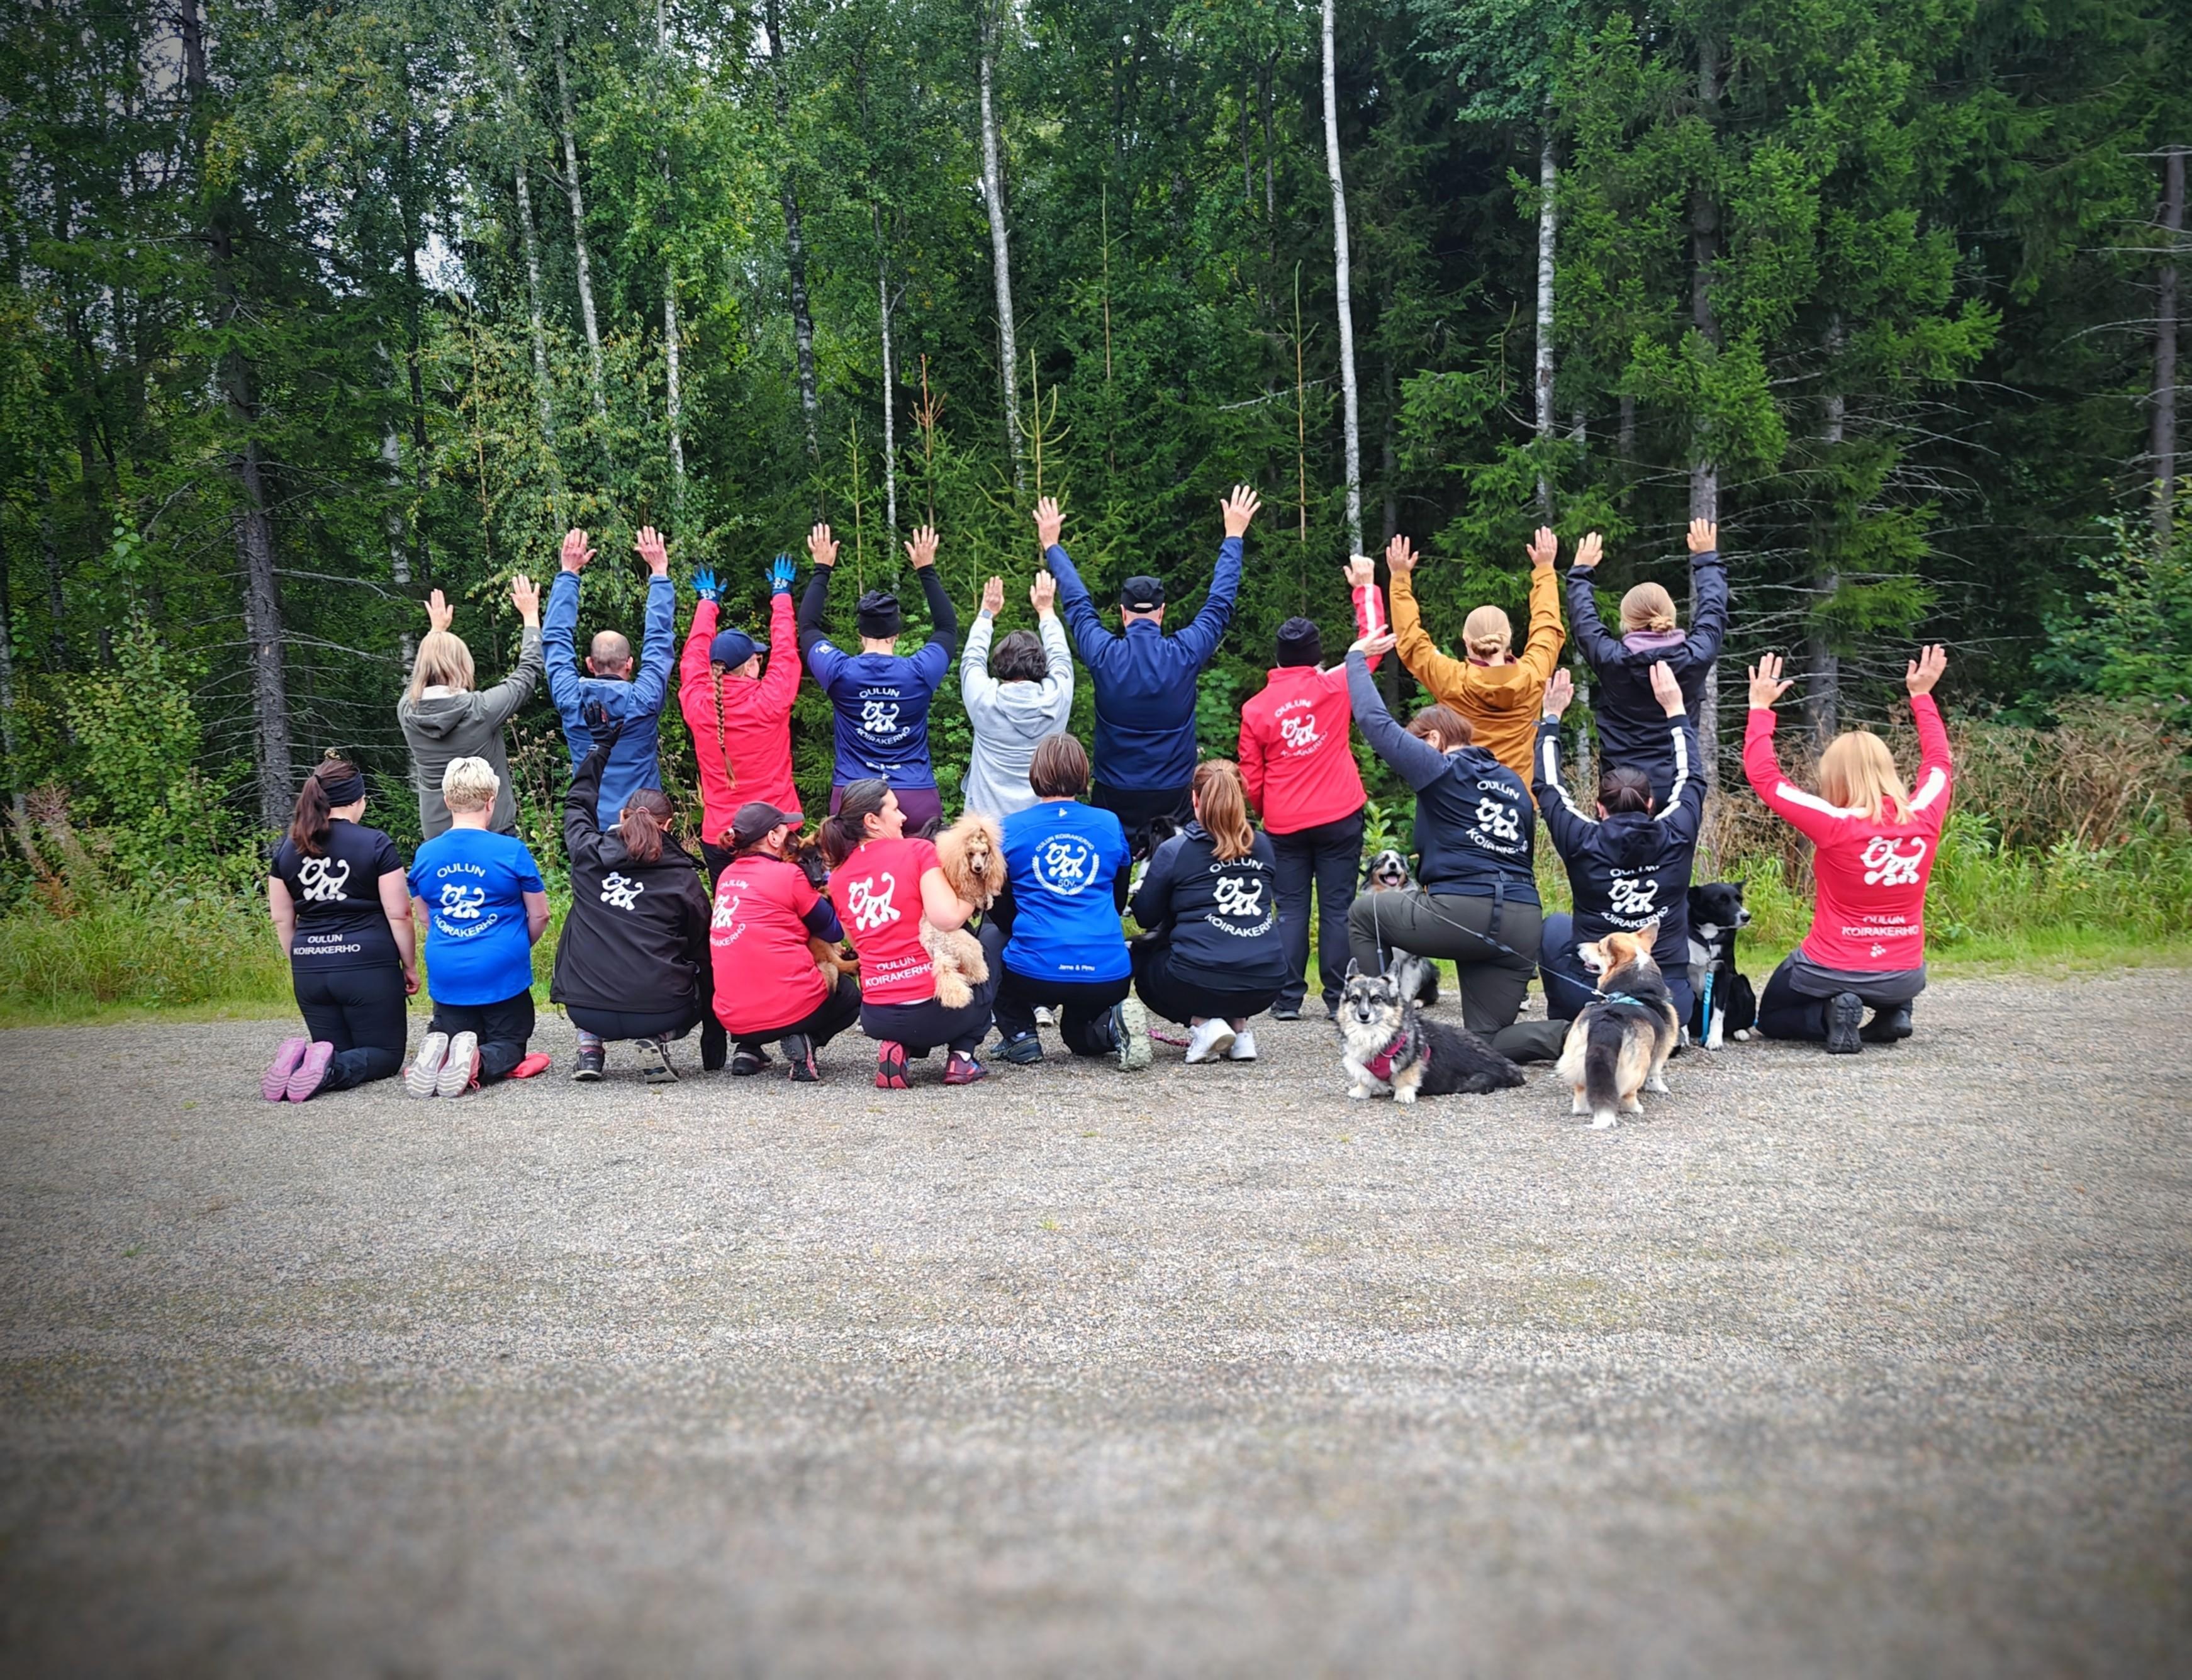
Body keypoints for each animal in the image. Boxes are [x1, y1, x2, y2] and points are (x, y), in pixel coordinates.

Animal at [924, 812, 1004, 1009]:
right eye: (970, 853)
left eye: (984, 853)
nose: (979, 868)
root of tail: (938, 947)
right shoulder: (969, 894)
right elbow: (982, 896)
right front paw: (989, 901)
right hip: (971, 947)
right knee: (975, 972)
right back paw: (982, 974)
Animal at [1336, 956, 1525, 1103]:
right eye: (1355, 999)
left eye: (1376, 998)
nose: (1363, 1015)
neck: (1371, 1033)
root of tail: (1509, 1067)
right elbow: (1365, 1079)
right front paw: (1361, 1090)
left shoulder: (1410, 1062)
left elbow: (1407, 1077)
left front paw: (1403, 1094)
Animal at [1357, 848, 1440, 1006]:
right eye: (1382, 860)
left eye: (1399, 861)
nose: (1393, 864)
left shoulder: (1411, 957)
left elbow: (1408, 981)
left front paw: (1406, 1002)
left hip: (1428, 968)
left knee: (1432, 995)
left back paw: (1418, 1002)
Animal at [1557, 927, 1682, 1129]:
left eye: (1599, 948)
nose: (1578, 947)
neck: (1635, 989)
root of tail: (1607, 1022)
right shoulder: (1662, 1052)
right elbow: (1656, 1073)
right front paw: (1660, 1088)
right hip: (1636, 1067)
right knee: (1629, 1093)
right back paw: (1635, 1108)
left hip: (1576, 1057)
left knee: (1581, 1094)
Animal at [1685, 881, 1757, 1047]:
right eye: (1721, 901)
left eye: (1740, 900)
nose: (1746, 916)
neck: (1708, 940)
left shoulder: (1725, 975)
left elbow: (1718, 1012)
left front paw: (1714, 1040)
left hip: (1741, 983)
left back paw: (1740, 1031)